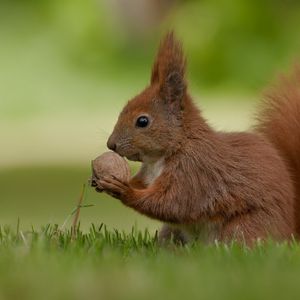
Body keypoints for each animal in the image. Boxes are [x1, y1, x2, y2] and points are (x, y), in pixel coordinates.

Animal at [96, 31, 300, 246]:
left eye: (142, 121)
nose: (111, 144)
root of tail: (290, 233)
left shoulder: (194, 172)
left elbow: (172, 204)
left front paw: (124, 190)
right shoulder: (150, 175)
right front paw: (103, 180)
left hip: (244, 227)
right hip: (173, 232)